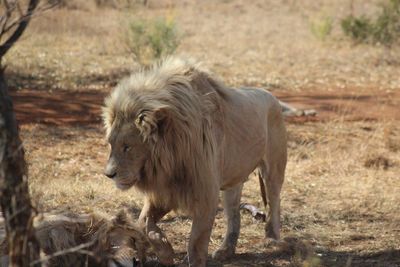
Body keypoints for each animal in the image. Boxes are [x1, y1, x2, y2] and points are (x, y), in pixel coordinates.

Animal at [101, 57, 286, 266]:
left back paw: (272, 239)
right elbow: (143, 223)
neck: (170, 160)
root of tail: (271, 95)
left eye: (127, 147)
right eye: (111, 144)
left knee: (274, 201)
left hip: (273, 169)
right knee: (233, 215)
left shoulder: (205, 193)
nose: (109, 174)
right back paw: (225, 251)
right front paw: (165, 251)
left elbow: (196, 243)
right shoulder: (166, 192)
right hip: (233, 182)